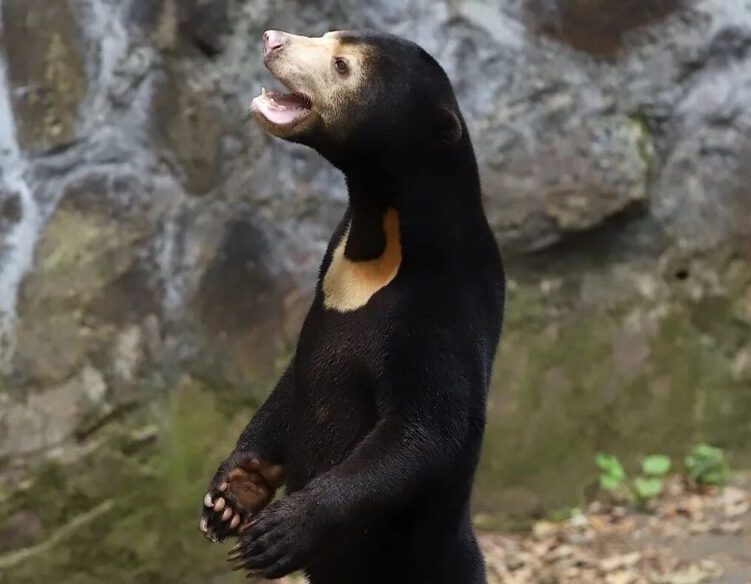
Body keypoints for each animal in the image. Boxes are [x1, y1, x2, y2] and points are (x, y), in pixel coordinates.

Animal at [199, 29, 505, 584]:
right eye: (327, 35)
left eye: (342, 66)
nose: (271, 38)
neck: (381, 232)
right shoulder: (330, 262)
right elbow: (293, 379)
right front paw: (232, 494)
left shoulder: (444, 308)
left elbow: (426, 430)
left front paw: (279, 534)